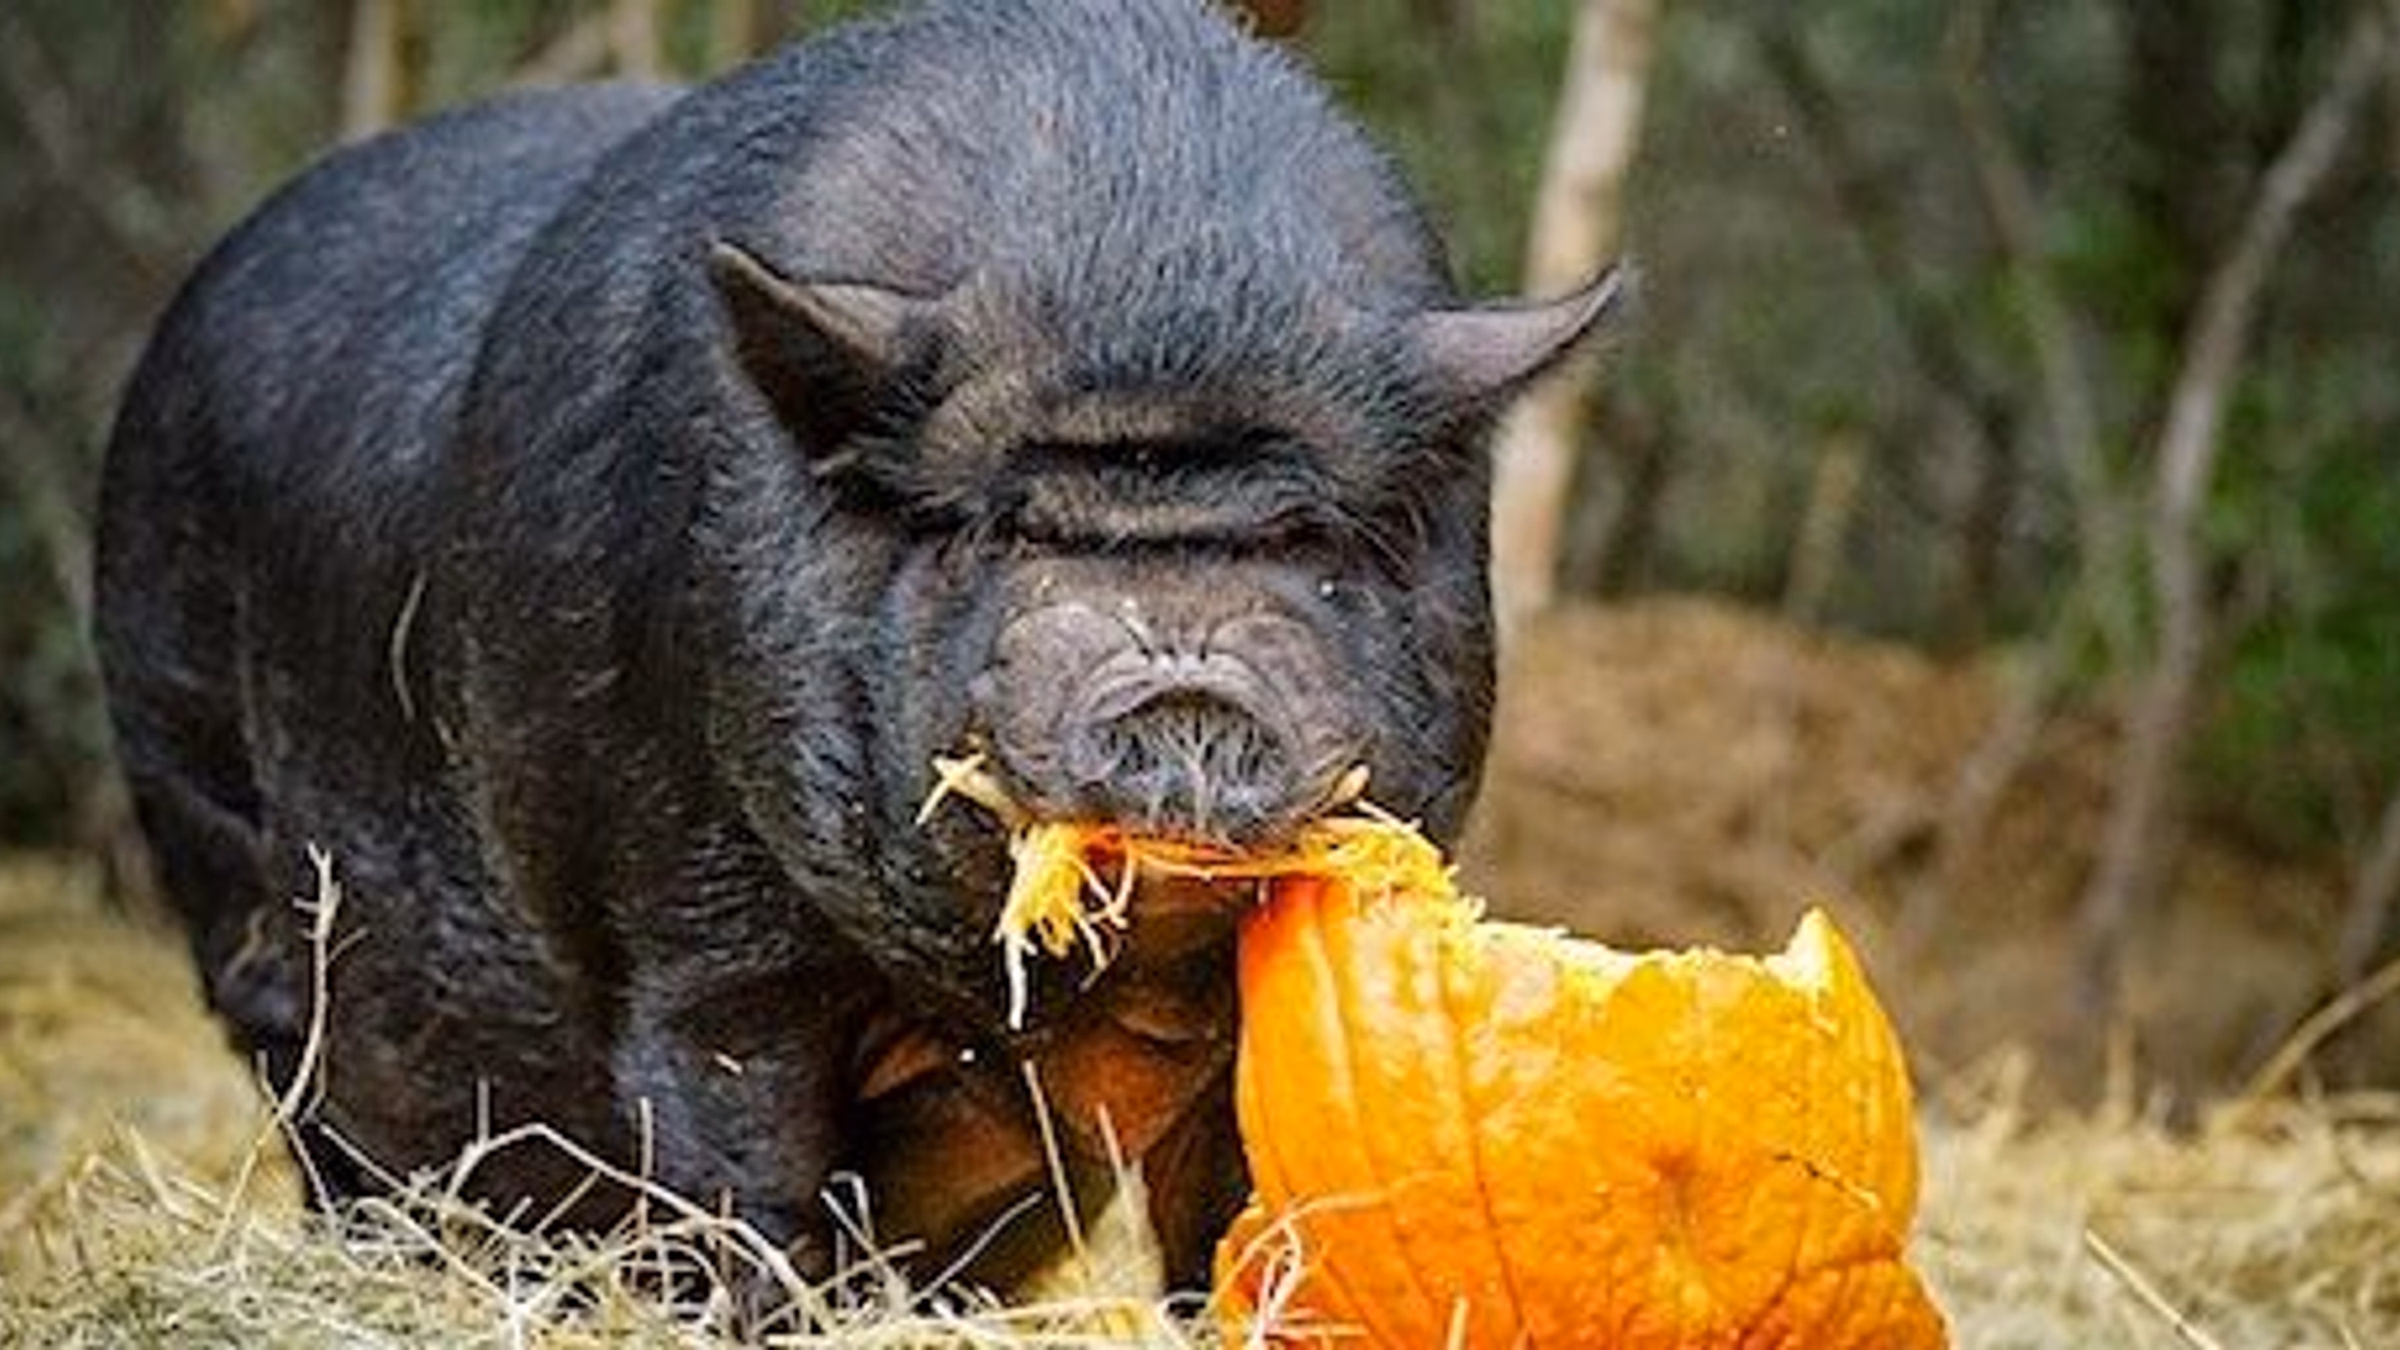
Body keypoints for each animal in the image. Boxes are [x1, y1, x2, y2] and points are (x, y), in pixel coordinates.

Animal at [92, 0, 1616, 1306]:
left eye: (1310, 537)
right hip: (203, 802)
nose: (1187, 682)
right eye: (1004, 531)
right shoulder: (695, 928)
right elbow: (741, 1174)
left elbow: (1240, 1218)